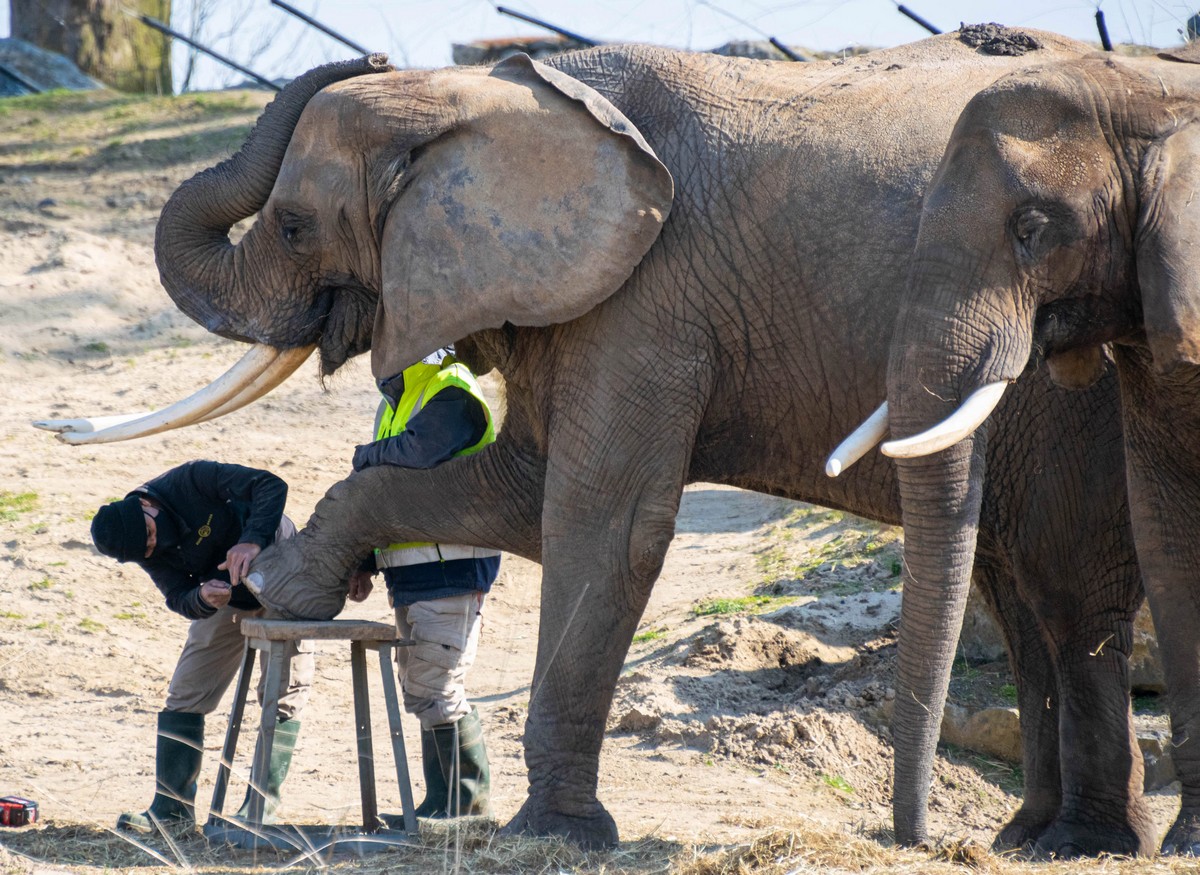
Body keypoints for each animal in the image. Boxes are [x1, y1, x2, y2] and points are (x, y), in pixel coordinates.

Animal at [42, 28, 1152, 854]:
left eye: (292, 228)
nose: (365, 53)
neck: (493, 96)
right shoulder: (584, 290)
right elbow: (512, 492)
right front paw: (290, 585)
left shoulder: (651, 294)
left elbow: (601, 521)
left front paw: (557, 834)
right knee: (1027, 600)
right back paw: (1035, 835)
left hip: (1084, 404)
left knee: (1070, 595)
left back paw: (1074, 841)